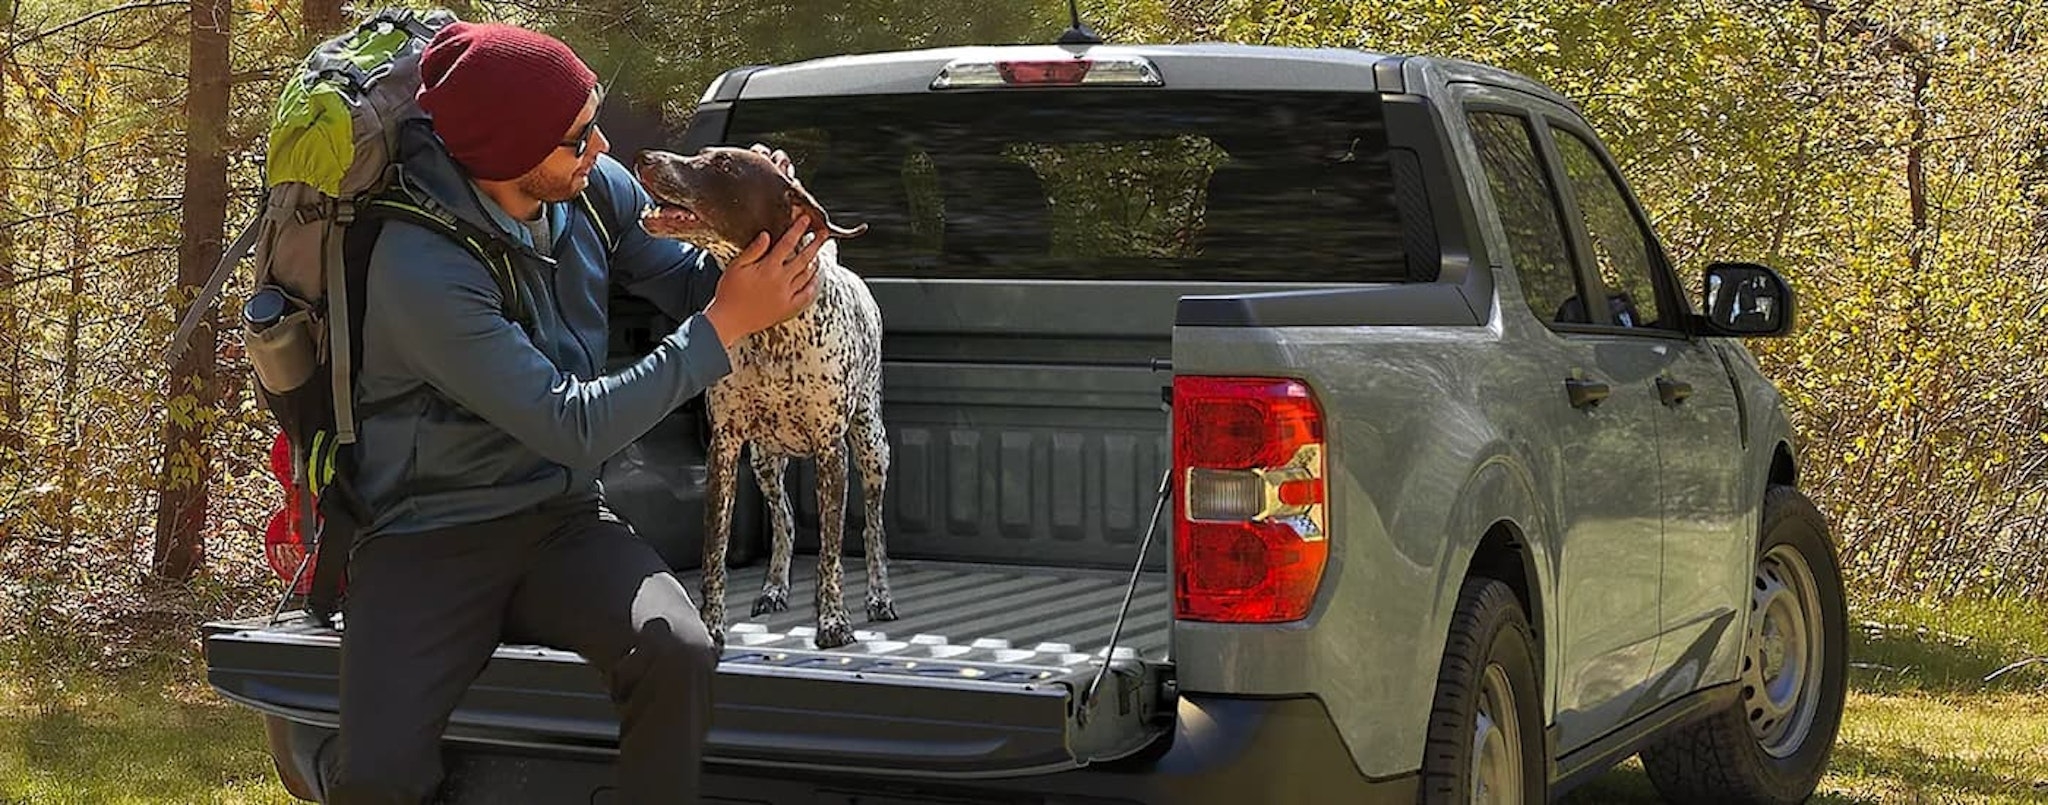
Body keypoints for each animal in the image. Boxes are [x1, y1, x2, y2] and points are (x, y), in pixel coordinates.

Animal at [630, 145, 897, 647]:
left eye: (724, 165)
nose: (644, 157)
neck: (774, 330)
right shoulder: (725, 448)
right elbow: (714, 551)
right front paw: (712, 624)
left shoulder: (832, 452)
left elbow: (831, 553)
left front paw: (833, 621)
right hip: (765, 462)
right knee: (786, 520)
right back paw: (774, 587)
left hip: (872, 447)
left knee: (873, 528)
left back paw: (879, 596)